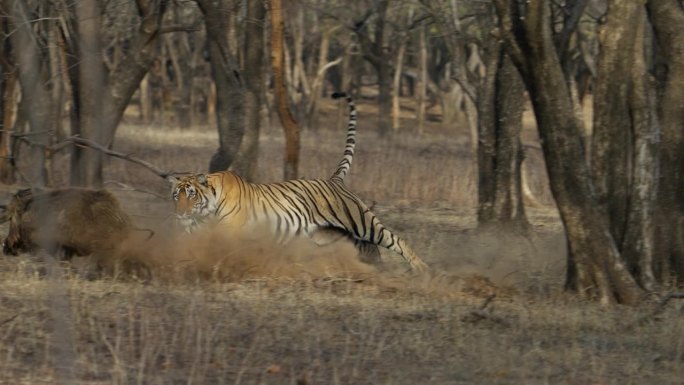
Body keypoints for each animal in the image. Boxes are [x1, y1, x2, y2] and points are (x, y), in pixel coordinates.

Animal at [168, 92, 428, 272]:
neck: (207, 209)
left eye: (191, 195)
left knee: (395, 239)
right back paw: (374, 268)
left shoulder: (228, 230)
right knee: (368, 248)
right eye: (176, 196)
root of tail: (334, 179)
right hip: (331, 235)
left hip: (361, 222)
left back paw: (421, 269)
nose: (179, 214)